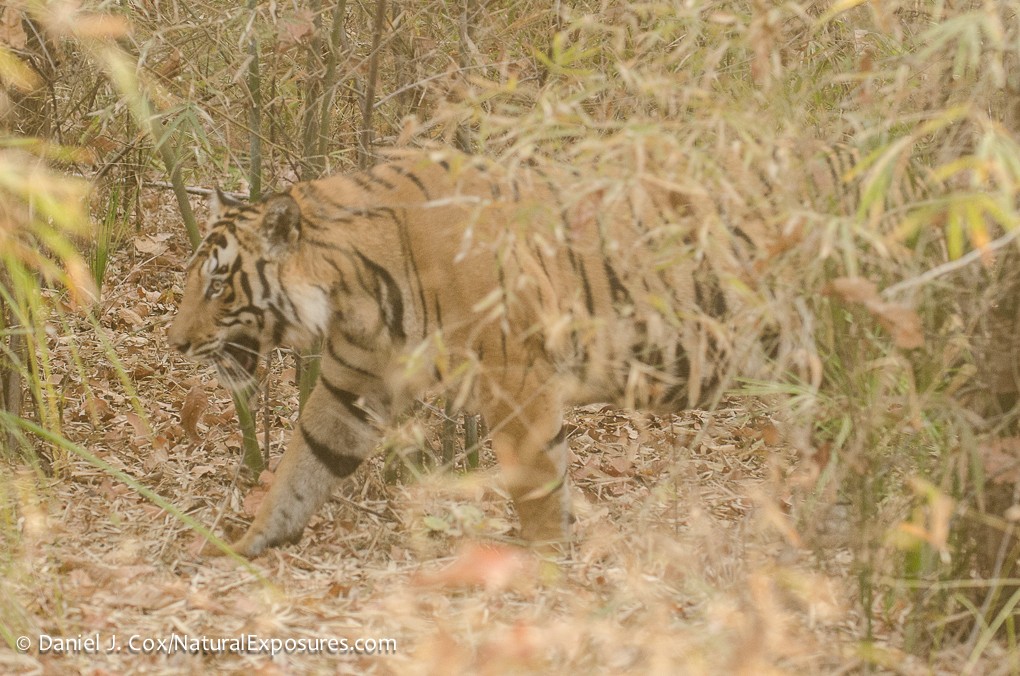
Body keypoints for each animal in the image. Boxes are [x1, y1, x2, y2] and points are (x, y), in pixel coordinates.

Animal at [168, 148, 780, 558]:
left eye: (218, 285)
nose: (177, 343)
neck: (352, 293)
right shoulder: (351, 386)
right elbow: (304, 466)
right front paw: (245, 545)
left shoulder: (516, 379)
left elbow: (536, 483)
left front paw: (547, 567)